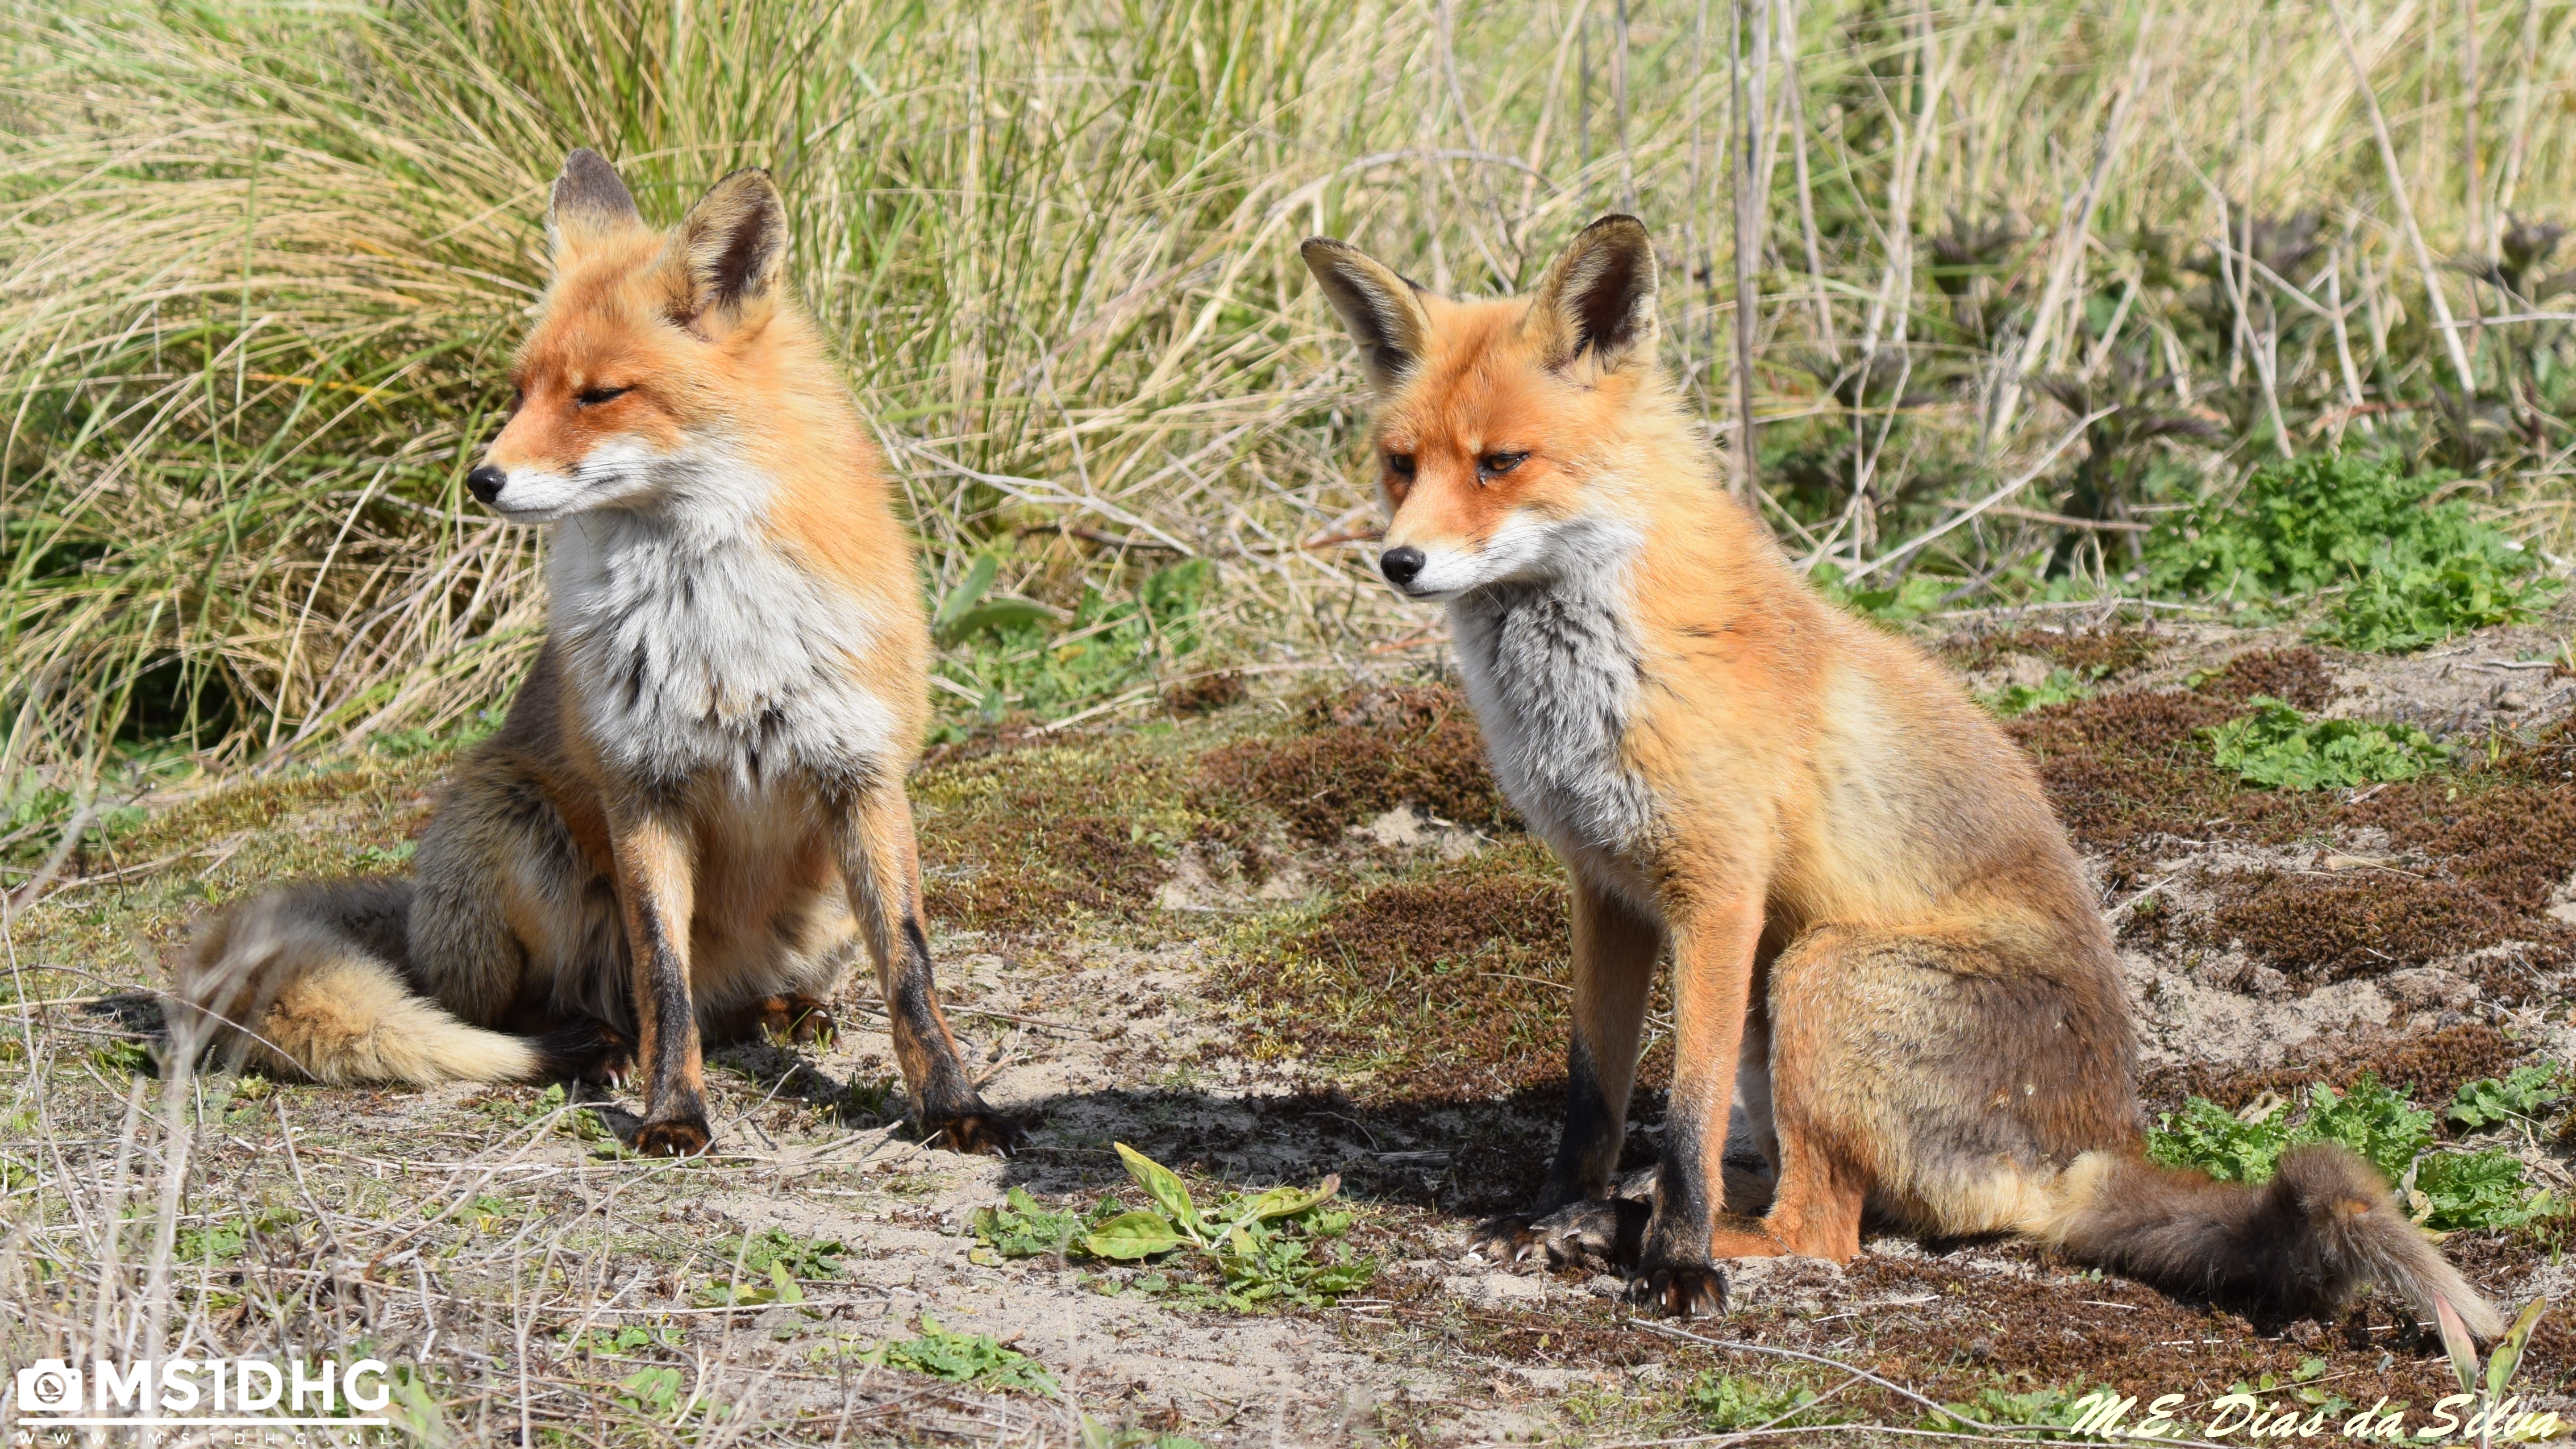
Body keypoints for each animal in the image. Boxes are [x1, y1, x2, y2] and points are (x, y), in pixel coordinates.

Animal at [181, 150, 1015, 1158]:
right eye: (519, 392)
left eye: (597, 395)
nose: (482, 480)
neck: (718, 628)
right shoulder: (641, 785)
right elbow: (663, 978)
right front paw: (673, 1114)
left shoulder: (864, 775)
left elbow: (910, 971)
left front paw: (953, 1106)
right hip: (511, 825)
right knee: (538, 1008)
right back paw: (594, 1045)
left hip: (813, 908)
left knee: (726, 1003)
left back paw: (777, 1009)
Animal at [1298, 215, 2504, 1338]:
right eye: (1400, 464)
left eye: (1499, 463)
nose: (1397, 562)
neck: (1589, 679)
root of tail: (2088, 1148)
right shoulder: (1605, 887)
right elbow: (1594, 1098)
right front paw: (1557, 1216)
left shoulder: (1716, 894)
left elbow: (1683, 1111)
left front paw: (1679, 1264)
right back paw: (1624, 1213)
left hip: (1816, 973)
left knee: (1825, 1227)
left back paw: (1685, 1234)